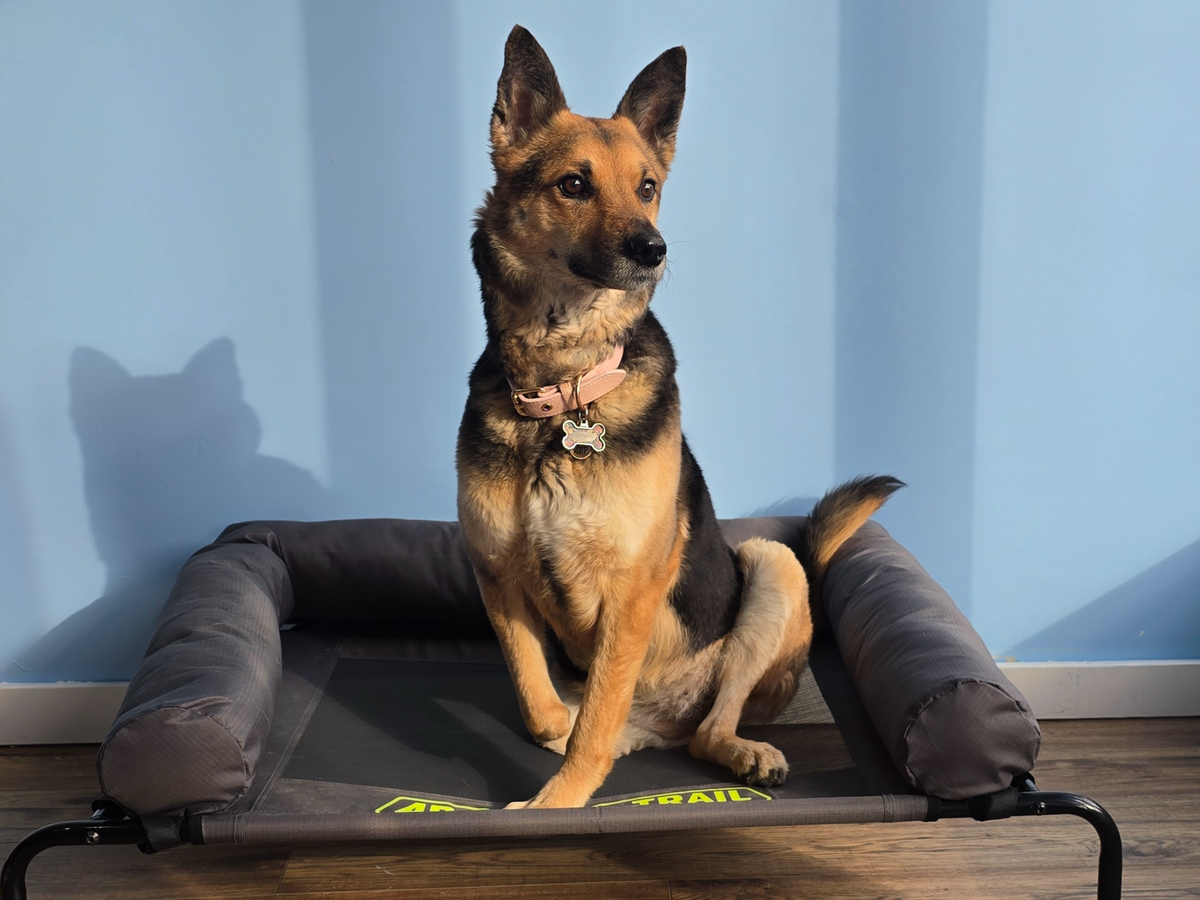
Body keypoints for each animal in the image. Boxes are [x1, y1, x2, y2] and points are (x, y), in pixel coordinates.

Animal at [456, 25, 901, 809]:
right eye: (573, 184)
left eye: (647, 188)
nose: (652, 250)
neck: (563, 395)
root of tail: (661, 722)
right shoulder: (495, 573)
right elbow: (539, 696)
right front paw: (553, 739)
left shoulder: (631, 589)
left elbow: (594, 718)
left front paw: (557, 803)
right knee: (634, 728)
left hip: (772, 565)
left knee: (707, 729)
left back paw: (742, 751)